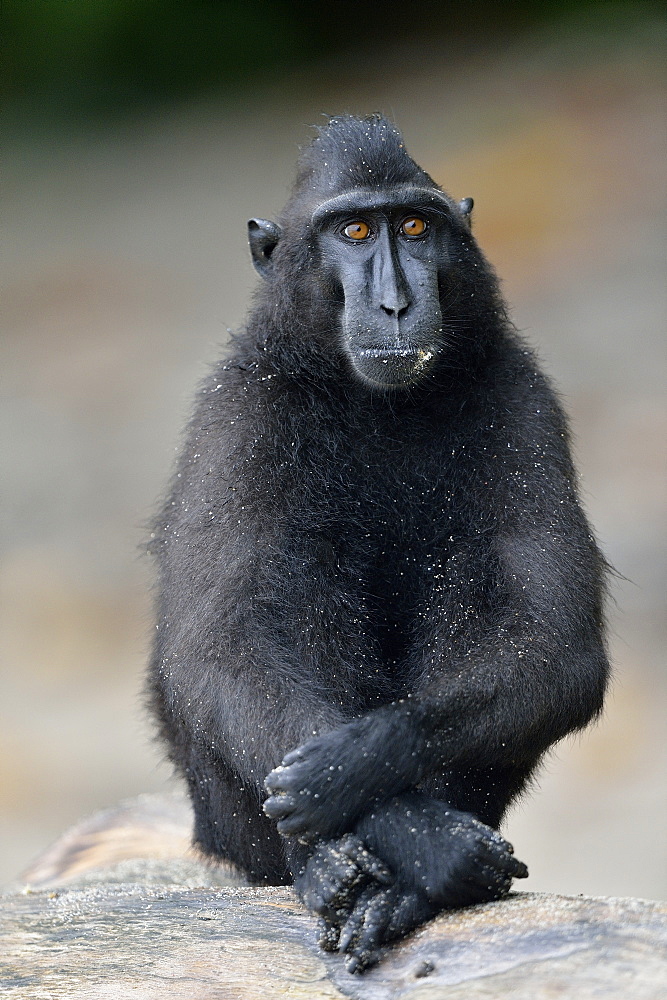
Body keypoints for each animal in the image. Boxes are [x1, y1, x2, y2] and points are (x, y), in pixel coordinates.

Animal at [150, 115, 612, 968]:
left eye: (417, 228)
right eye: (355, 231)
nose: (396, 303)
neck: (378, 404)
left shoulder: (523, 399)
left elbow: (557, 647)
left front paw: (350, 769)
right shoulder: (238, 412)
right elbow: (217, 646)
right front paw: (422, 839)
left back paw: (396, 889)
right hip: (224, 827)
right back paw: (331, 870)